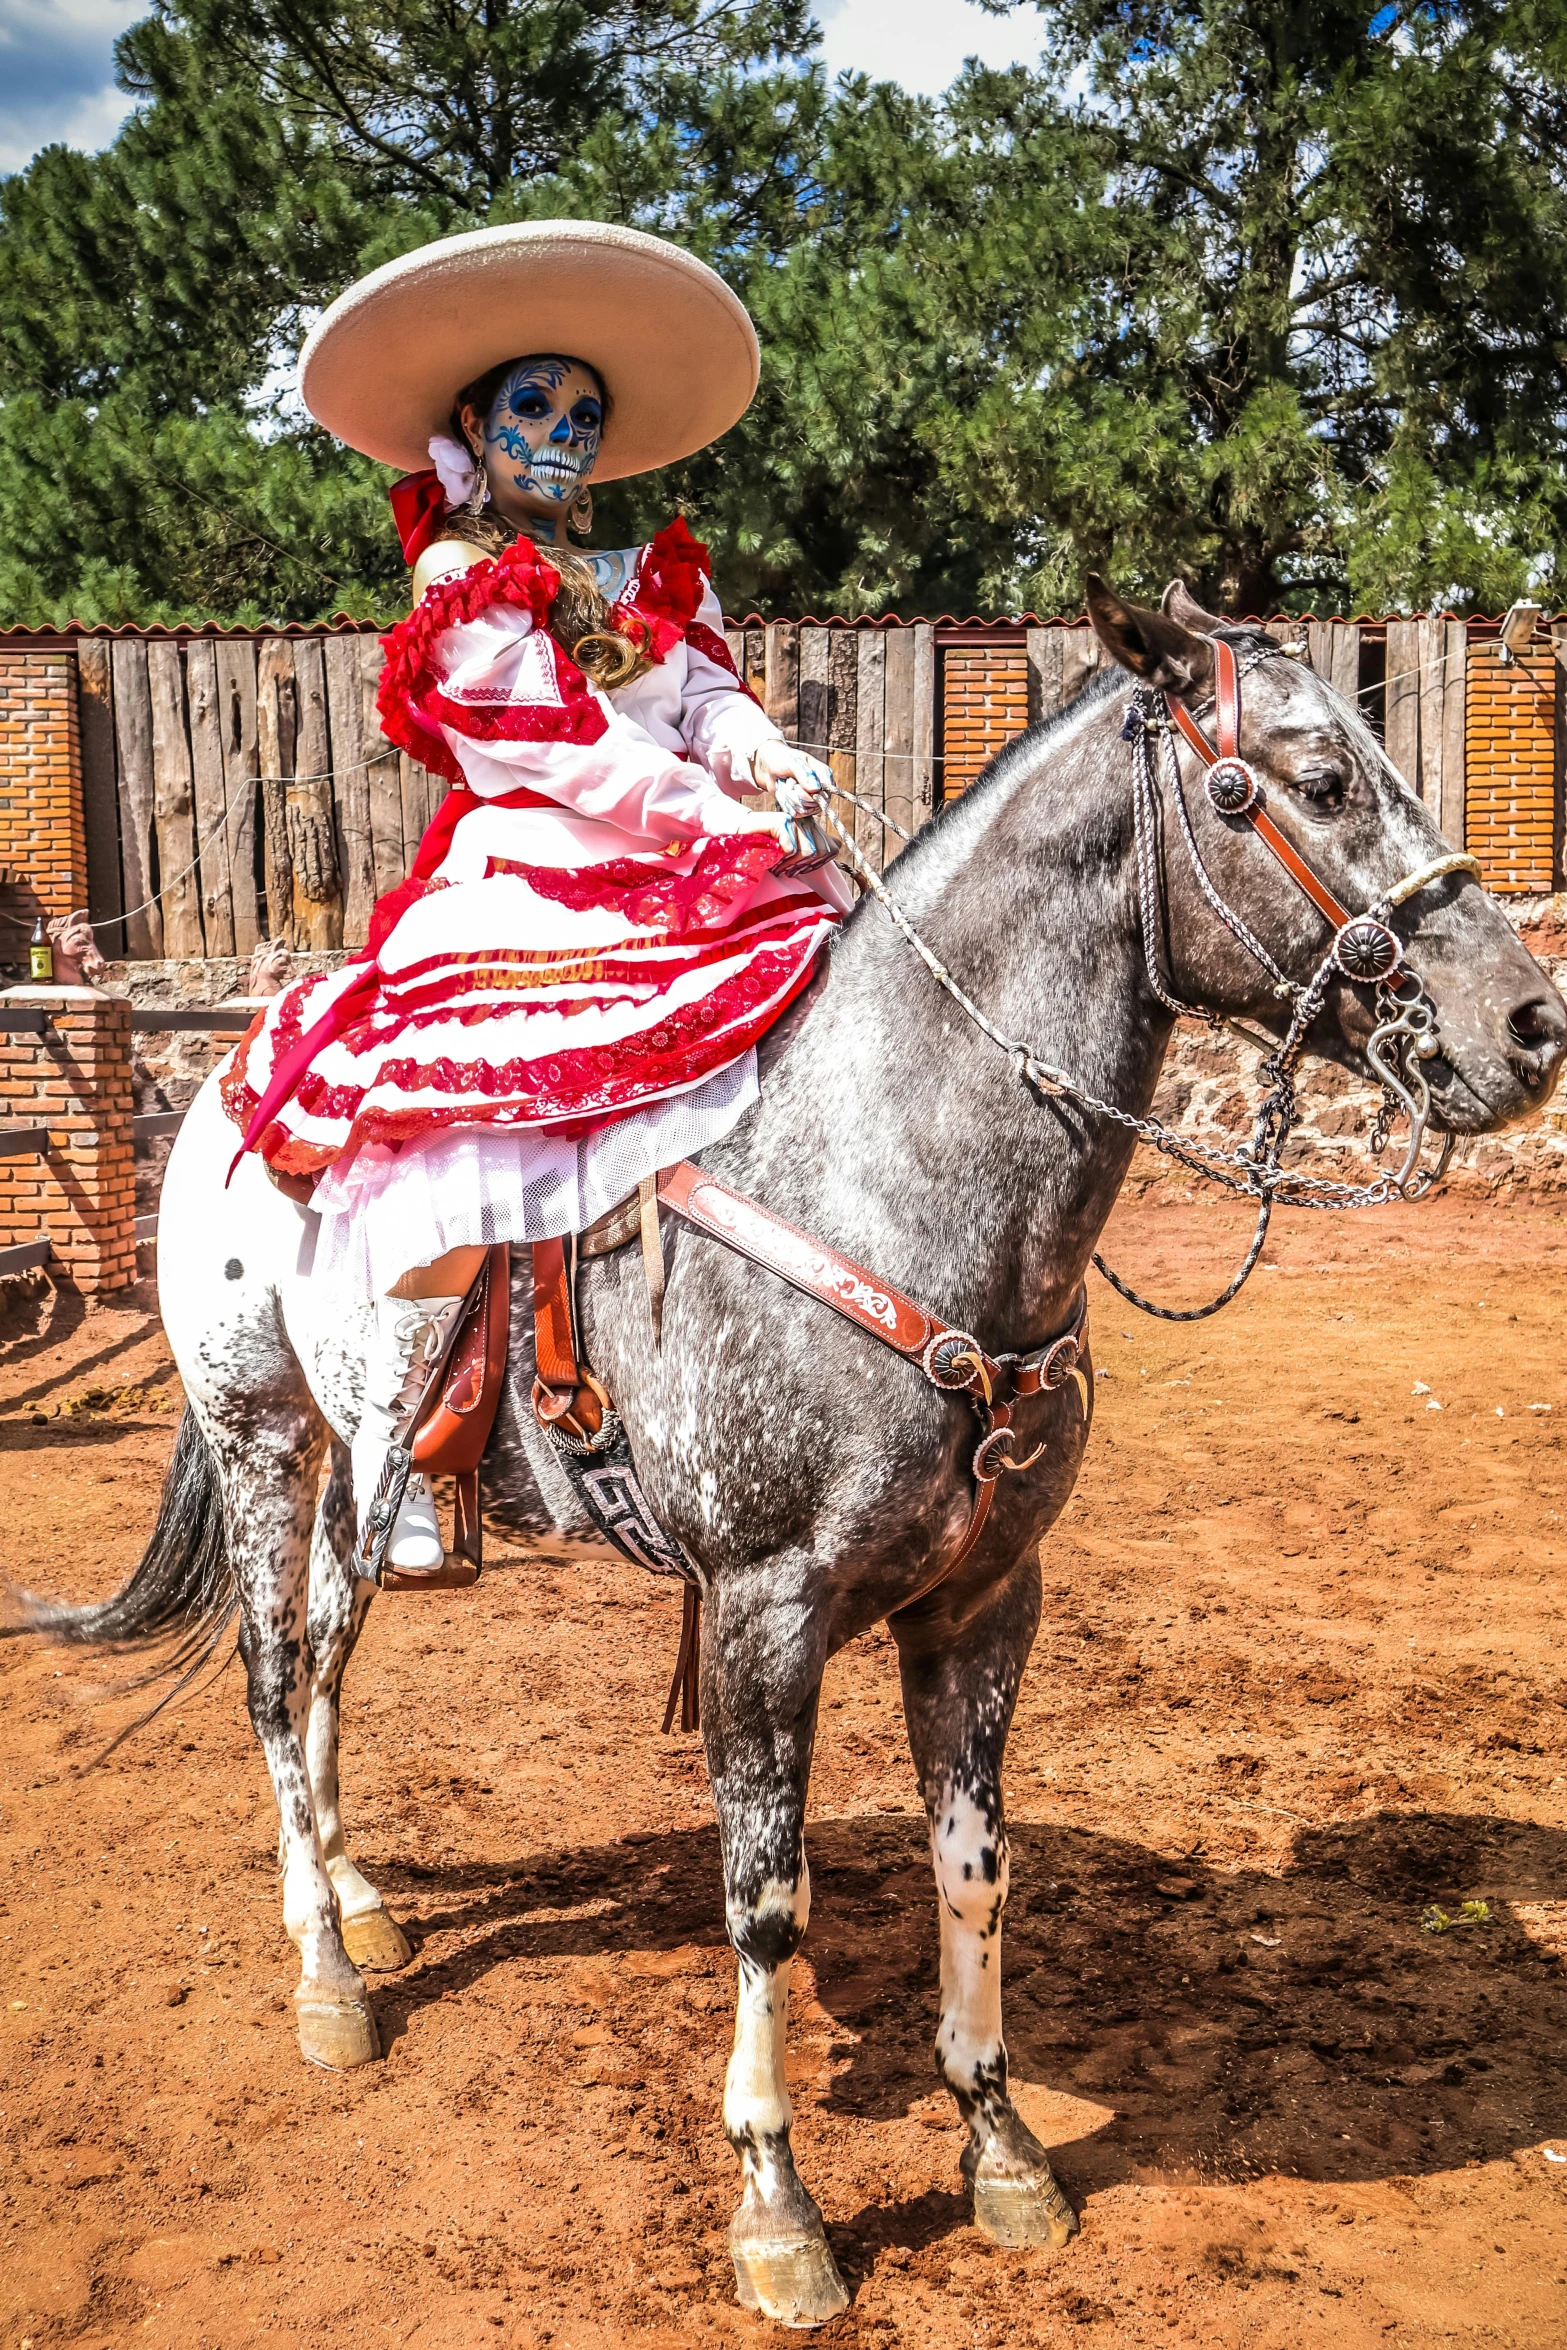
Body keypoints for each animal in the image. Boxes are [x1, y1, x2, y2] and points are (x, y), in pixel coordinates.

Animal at [9, 587, 1559, 2331]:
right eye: (1310, 776)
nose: (1528, 1023)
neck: (883, 1172)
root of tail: (226, 1083)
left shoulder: (986, 1602)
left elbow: (974, 1866)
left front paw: (999, 2144)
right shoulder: (765, 1608)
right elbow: (763, 1896)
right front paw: (776, 2208)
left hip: (367, 1476)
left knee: (331, 1664)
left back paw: (359, 1902)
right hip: (263, 1437)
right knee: (278, 1682)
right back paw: (325, 1974)